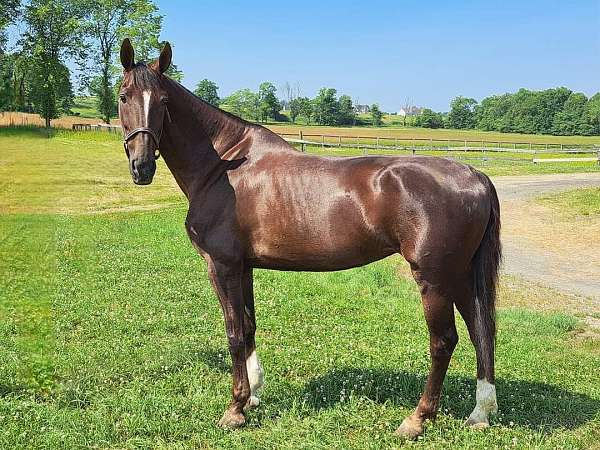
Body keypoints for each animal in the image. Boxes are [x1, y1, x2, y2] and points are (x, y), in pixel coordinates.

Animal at [117, 39, 502, 440]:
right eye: (124, 96)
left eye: (163, 102)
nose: (141, 167)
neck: (223, 166)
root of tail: (475, 175)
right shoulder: (243, 267)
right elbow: (249, 326)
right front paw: (253, 396)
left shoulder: (221, 265)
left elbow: (234, 332)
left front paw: (235, 409)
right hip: (460, 275)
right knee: (481, 331)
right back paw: (480, 412)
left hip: (435, 277)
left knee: (444, 341)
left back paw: (417, 419)